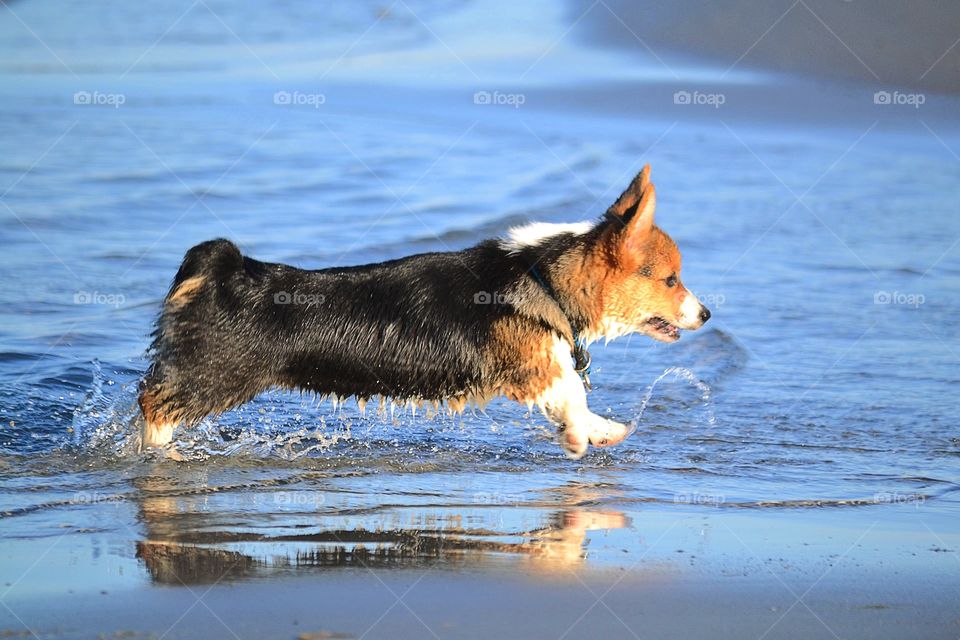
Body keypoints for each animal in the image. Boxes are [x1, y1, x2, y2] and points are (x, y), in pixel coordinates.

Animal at [139, 164, 708, 456]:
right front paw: (587, 433)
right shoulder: (531, 365)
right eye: (671, 279)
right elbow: (570, 391)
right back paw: (156, 454)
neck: (541, 276)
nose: (705, 314)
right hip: (216, 377)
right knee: (153, 405)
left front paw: (597, 430)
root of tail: (227, 269)